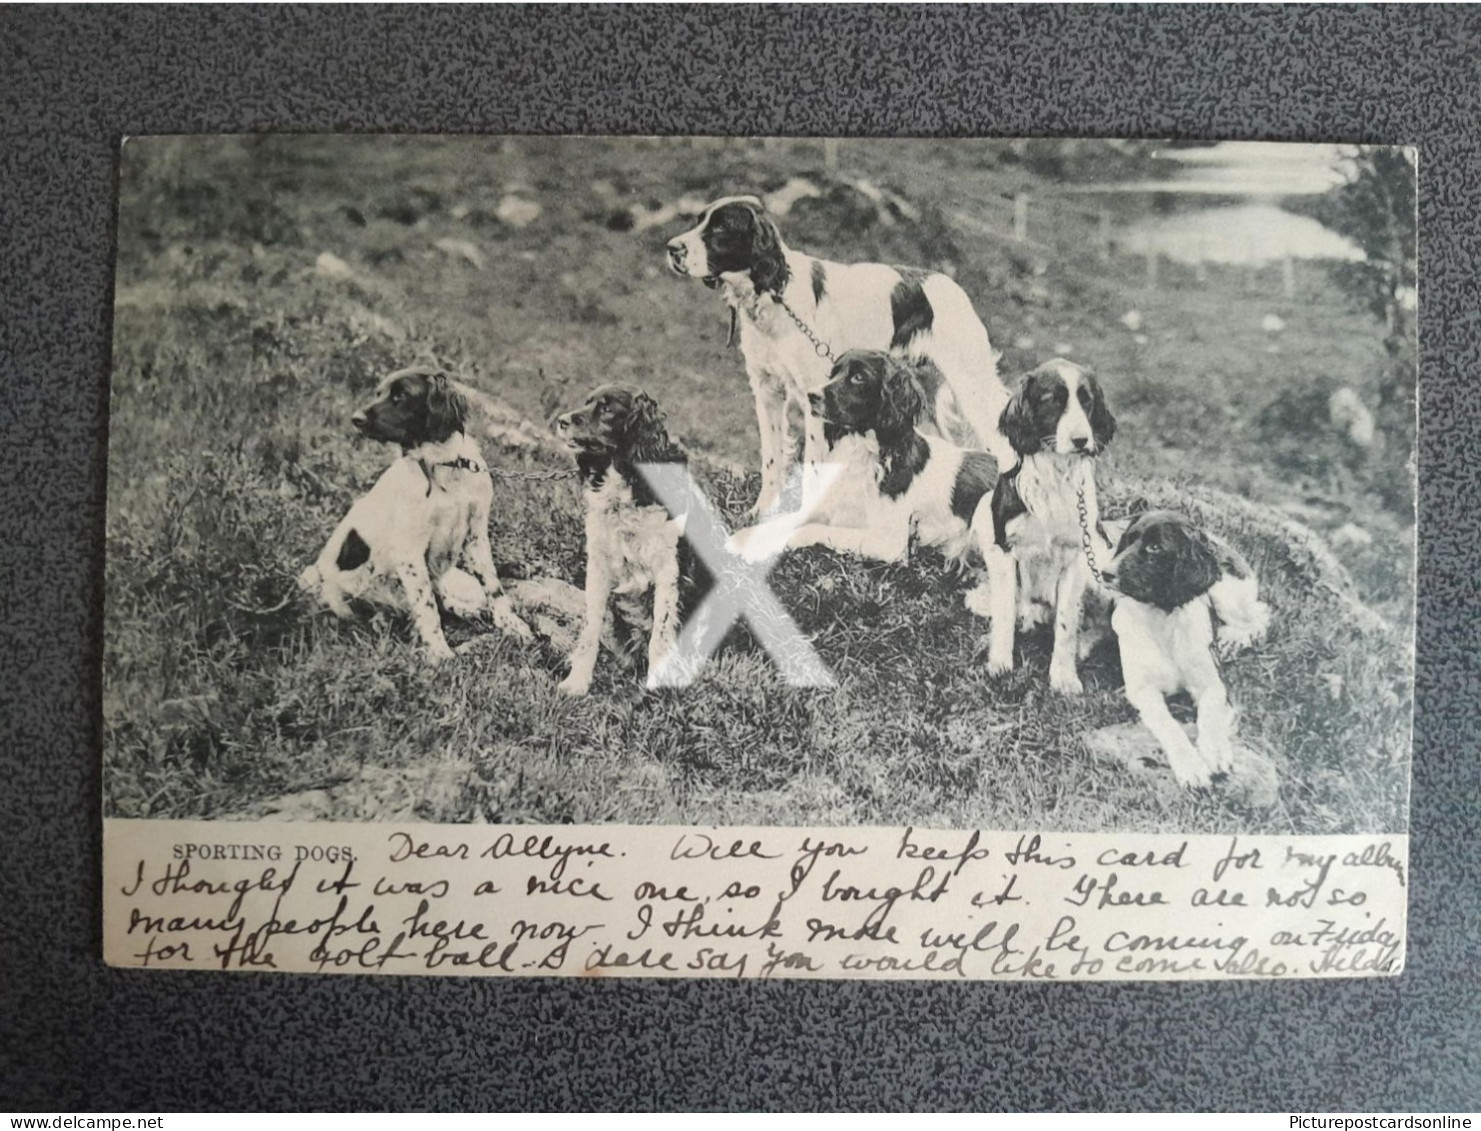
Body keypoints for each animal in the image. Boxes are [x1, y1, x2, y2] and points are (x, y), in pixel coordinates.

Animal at [297, 362, 536, 663]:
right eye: (378, 393)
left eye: (401, 395)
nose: (356, 419)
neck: (444, 467)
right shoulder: (410, 550)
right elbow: (427, 606)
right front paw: (440, 651)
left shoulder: (476, 534)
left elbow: (493, 586)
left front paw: (513, 625)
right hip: (314, 579)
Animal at [553, 384, 696, 692]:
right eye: (588, 402)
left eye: (607, 409)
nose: (561, 420)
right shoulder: (599, 565)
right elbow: (591, 628)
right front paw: (577, 682)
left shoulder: (669, 570)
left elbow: (660, 636)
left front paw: (656, 687)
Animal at [666, 198, 1013, 518]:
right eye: (699, 220)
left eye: (721, 228)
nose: (671, 248)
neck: (777, 296)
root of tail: (953, 286)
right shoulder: (768, 390)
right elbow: (771, 458)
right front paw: (760, 511)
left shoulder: (817, 400)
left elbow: (813, 466)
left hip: (973, 391)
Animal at [1101, 509, 1273, 787]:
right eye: (1128, 540)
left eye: (1156, 547)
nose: (1105, 573)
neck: (1163, 619)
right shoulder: (1142, 690)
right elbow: (1169, 724)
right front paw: (1191, 766)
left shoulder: (1212, 682)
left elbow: (1211, 713)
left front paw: (1215, 752)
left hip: (1226, 594)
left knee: (1259, 616)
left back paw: (1230, 640)